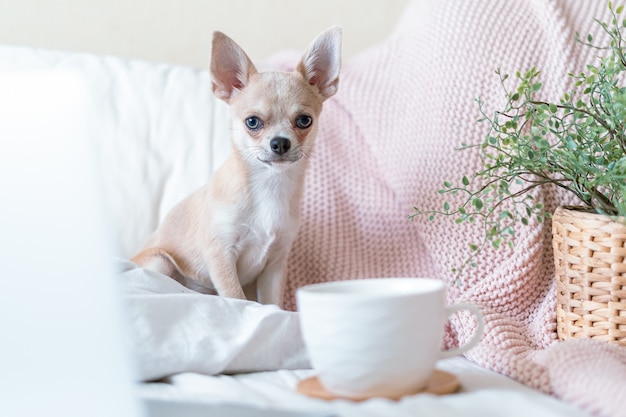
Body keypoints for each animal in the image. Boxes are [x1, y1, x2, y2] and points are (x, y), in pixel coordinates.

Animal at [131, 26, 342, 306]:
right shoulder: (221, 253)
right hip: (160, 262)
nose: (280, 142)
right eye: (252, 122)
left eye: (304, 120)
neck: (269, 186)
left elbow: (272, 304)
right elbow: (235, 296)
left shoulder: (275, 264)